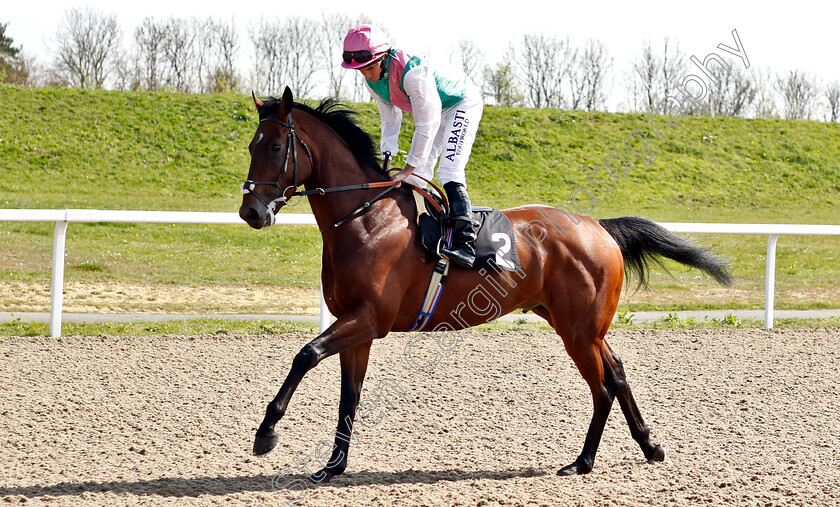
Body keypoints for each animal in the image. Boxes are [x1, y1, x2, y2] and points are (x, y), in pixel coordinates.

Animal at [240, 87, 732, 484]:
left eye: (277, 145)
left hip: (578, 332)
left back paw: (583, 461)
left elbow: (305, 355)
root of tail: (599, 227)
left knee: (602, 388)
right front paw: (333, 466)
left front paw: (266, 433)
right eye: (251, 145)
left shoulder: (368, 320)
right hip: (583, 327)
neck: (366, 220)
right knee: (618, 373)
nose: (251, 212)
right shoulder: (356, 327)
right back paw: (650, 446)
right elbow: (349, 397)